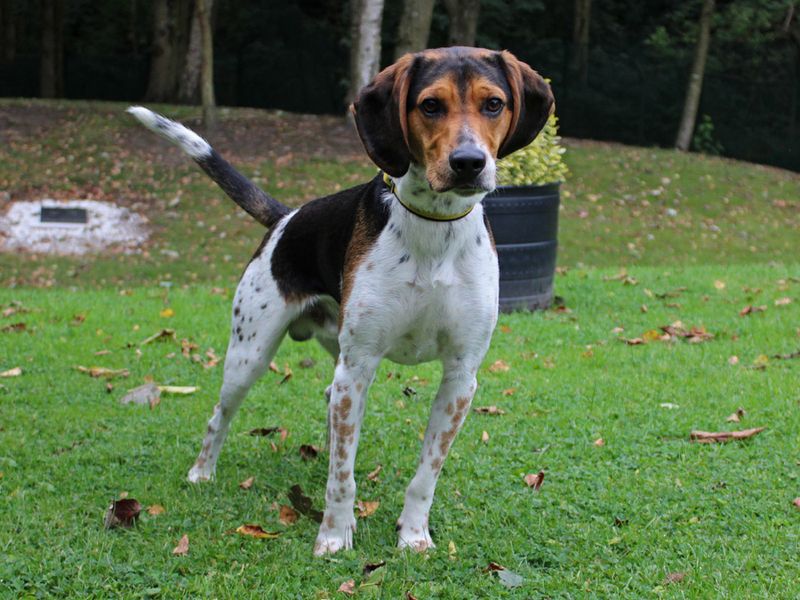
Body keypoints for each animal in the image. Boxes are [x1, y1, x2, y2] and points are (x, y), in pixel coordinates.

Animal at [130, 47, 556, 556]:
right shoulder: (359, 367)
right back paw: (202, 472)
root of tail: (286, 217)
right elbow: (342, 479)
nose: (469, 162)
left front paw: (413, 535)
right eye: (430, 105)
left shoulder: (460, 378)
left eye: (493, 104)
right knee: (221, 416)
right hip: (249, 356)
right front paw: (333, 536)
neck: (433, 227)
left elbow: (425, 474)